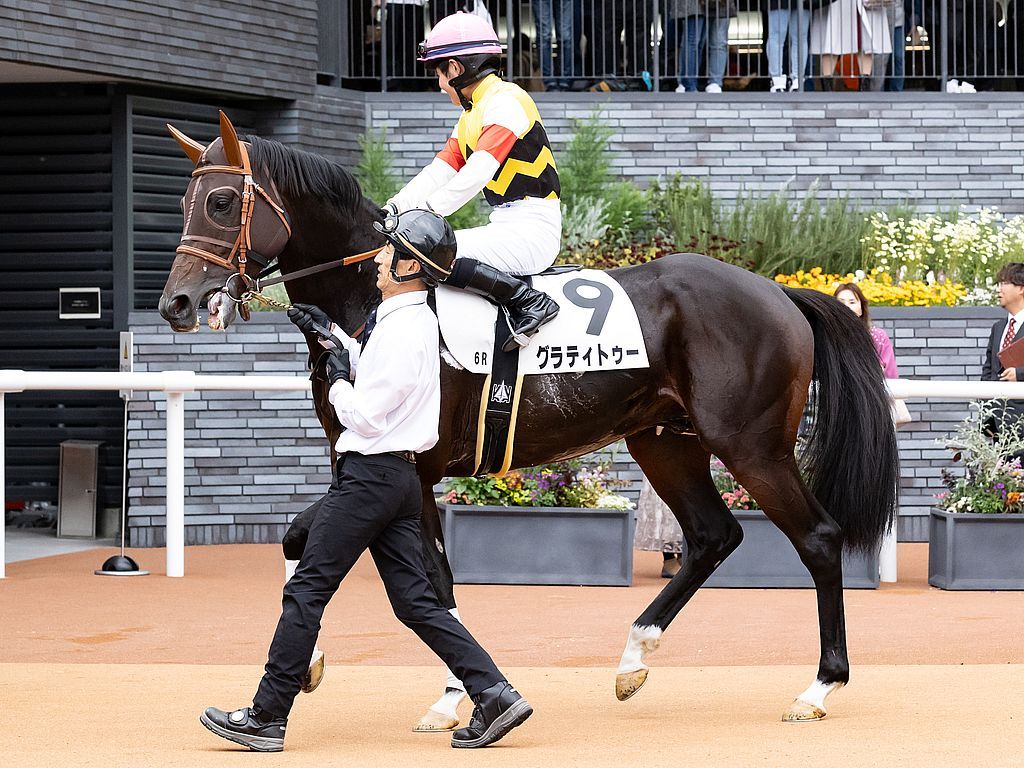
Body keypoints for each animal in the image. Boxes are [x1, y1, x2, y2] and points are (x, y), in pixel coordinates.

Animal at [158, 112, 898, 726]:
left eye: (220, 202)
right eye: (184, 202)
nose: (176, 304)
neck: (372, 297)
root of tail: (779, 291)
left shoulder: (413, 467)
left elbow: (433, 581)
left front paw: (453, 699)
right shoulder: (364, 459)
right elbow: (297, 537)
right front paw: (314, 662)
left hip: (752, 447)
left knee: (818, 537)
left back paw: (819, 687)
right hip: (665, 442)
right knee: (714, 535)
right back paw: (633, 659)